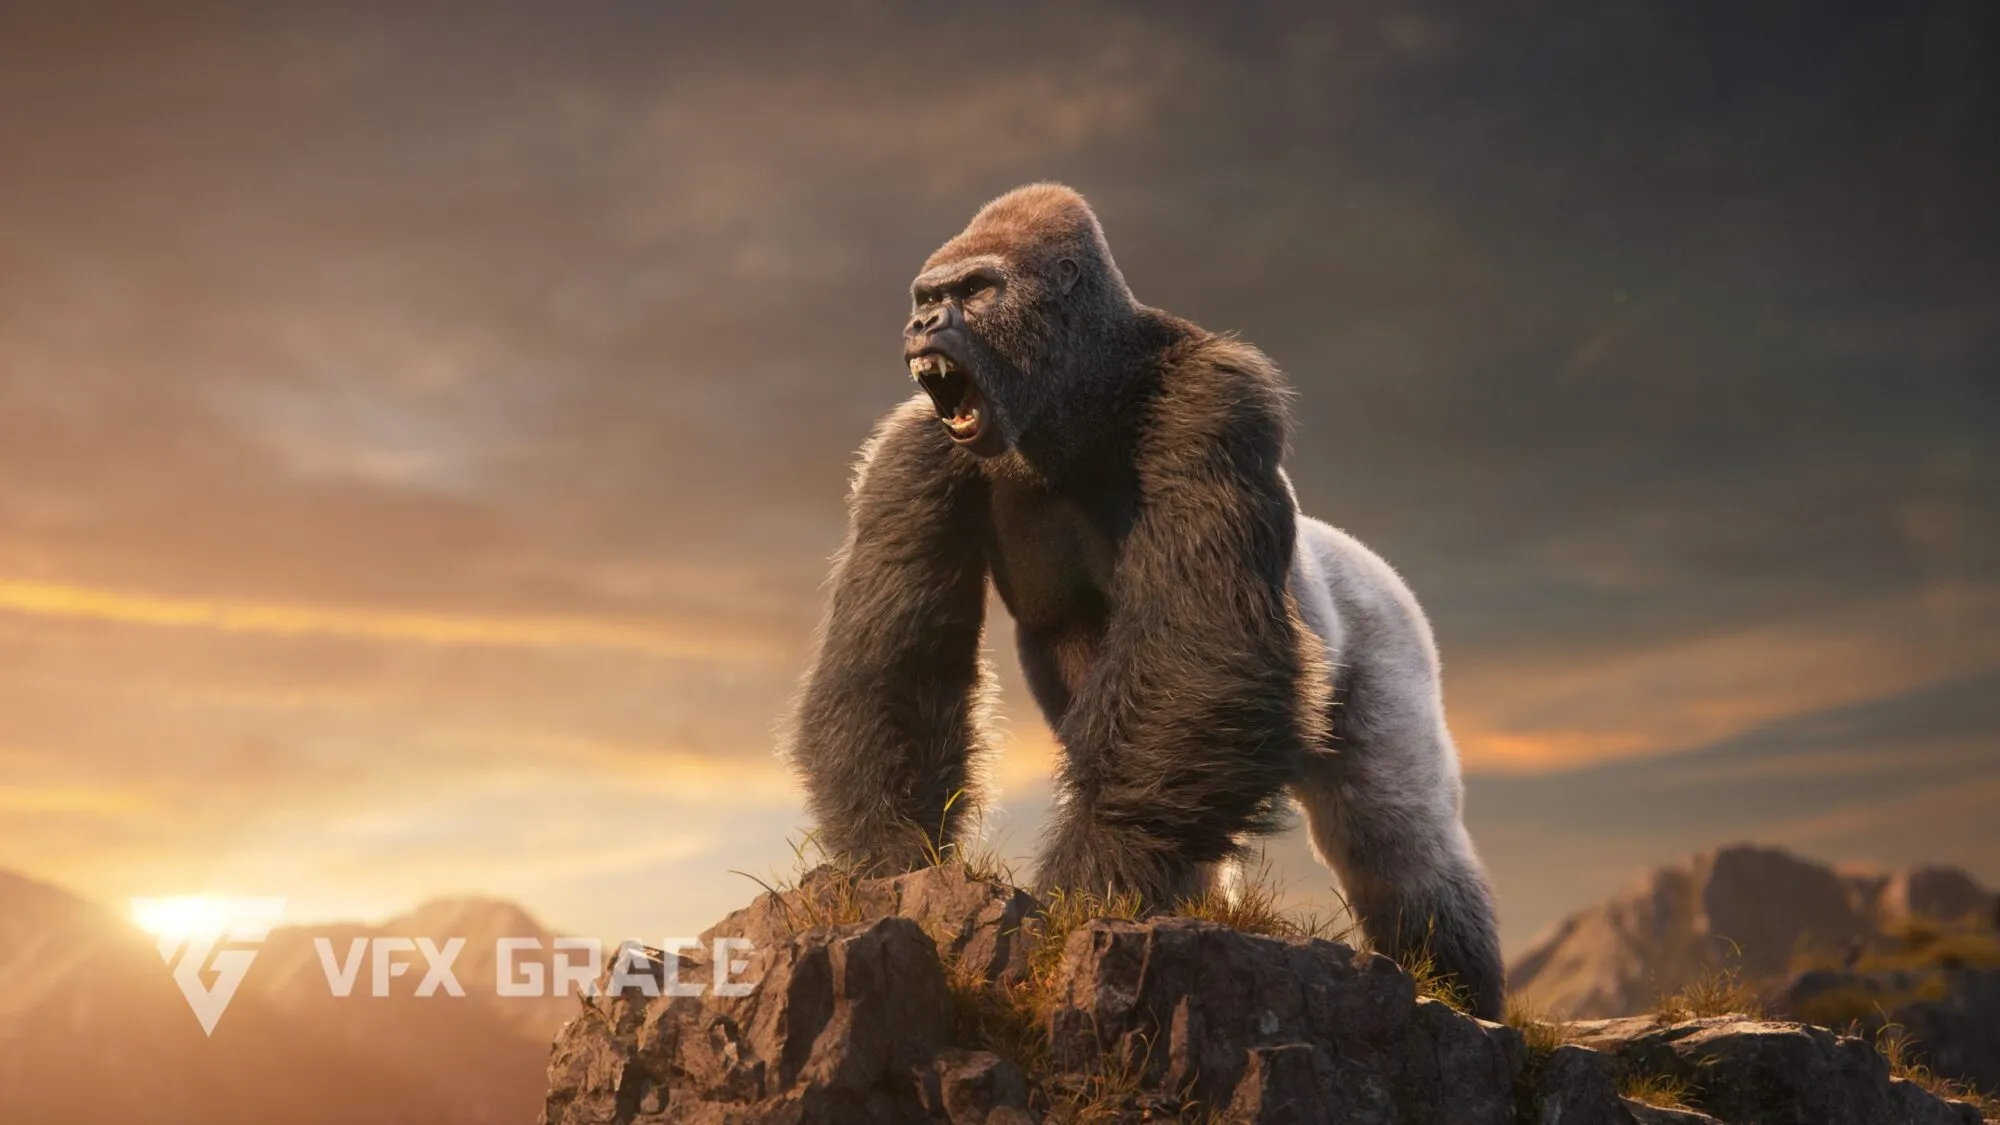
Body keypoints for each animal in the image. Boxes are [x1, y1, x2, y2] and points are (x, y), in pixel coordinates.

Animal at [784, 183, 1505, 1018]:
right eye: (928, 298)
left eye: (976, 290)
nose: (924, 324)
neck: (1084, 383)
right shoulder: (912, 450)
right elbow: (895, 664)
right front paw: (893, 857)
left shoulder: (1215, 399)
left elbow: (1210, 646)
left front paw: (1082, 889)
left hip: (1389, 625)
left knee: (1396, 839)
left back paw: (1461, 991)